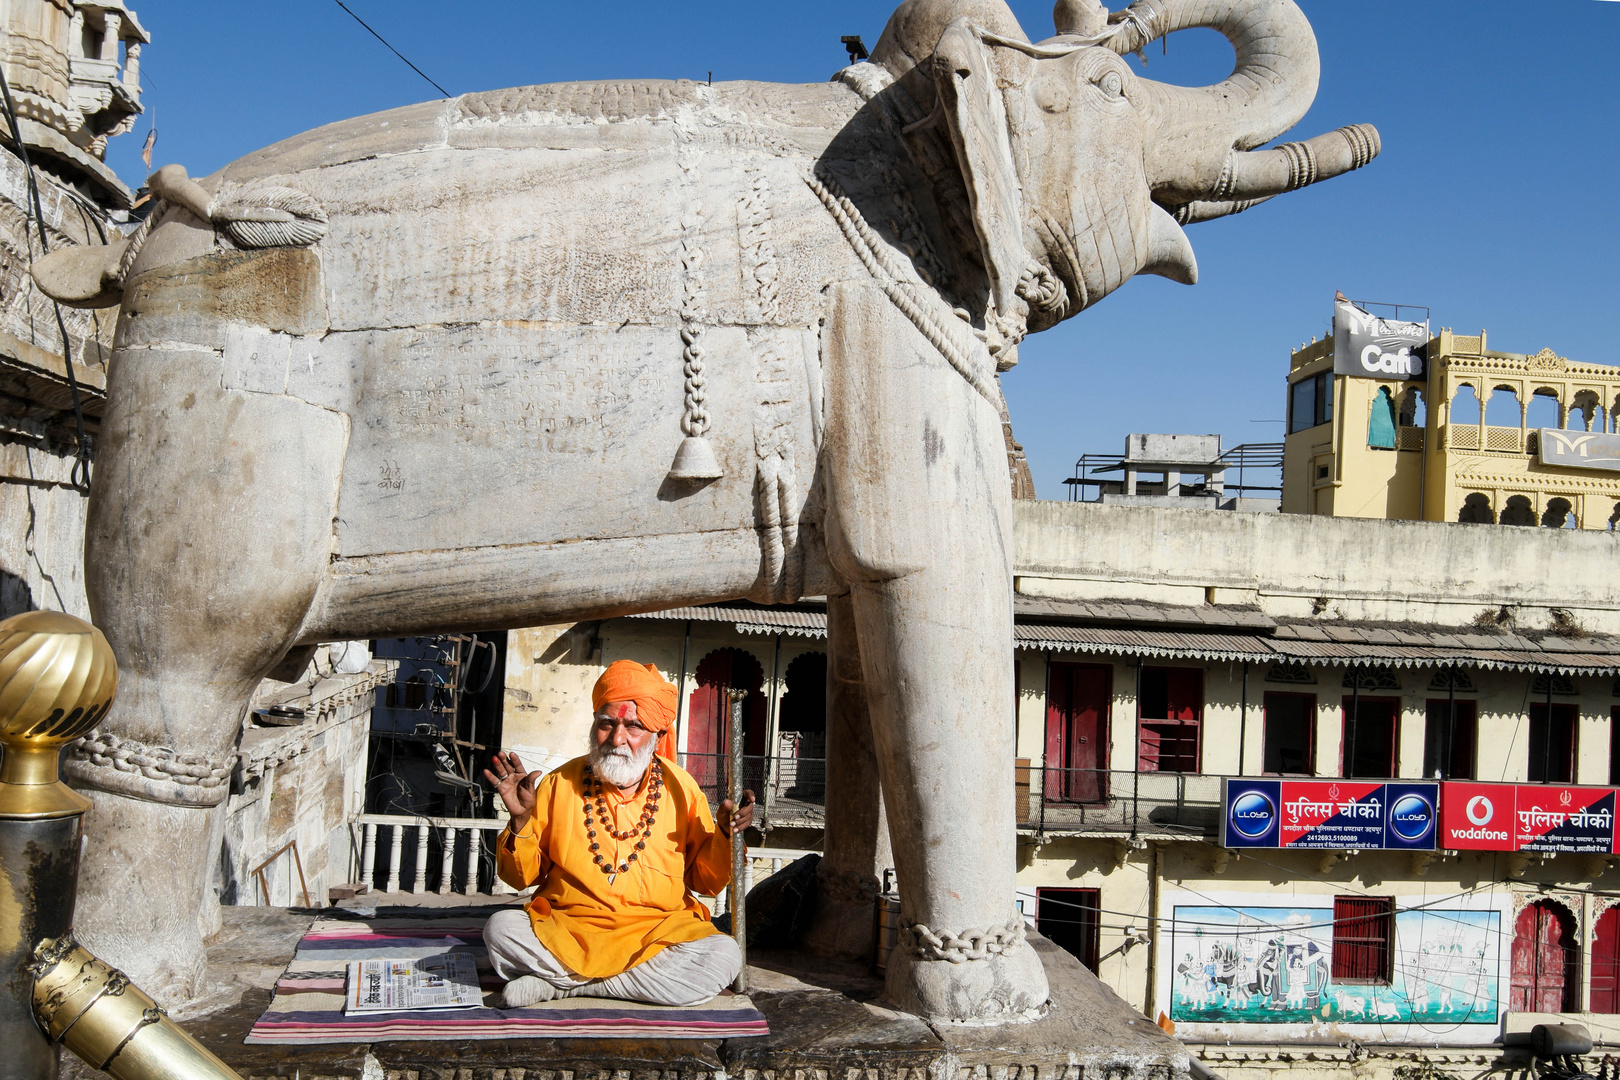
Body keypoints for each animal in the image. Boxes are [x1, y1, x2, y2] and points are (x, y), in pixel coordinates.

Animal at [34, 0, 1380, 1023]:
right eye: (1105, 85)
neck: (881, 115)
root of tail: (134, 240)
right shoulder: (887, 345)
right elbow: (938, 593)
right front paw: (994, 1007)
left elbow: (865, 634)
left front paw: (831, 938)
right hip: (218, 419)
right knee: (179, 688)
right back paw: (152, 990)